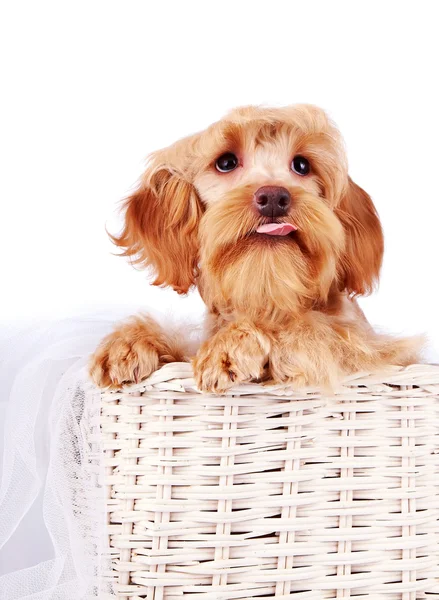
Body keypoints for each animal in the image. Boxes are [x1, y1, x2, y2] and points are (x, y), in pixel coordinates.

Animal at [88, 103, 420, 394]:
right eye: (226, 162)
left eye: (302, 165)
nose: (274, 197)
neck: (266, 288)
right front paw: (131, 342)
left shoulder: (370, 351)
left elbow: (308, 327)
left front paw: (231, 346)